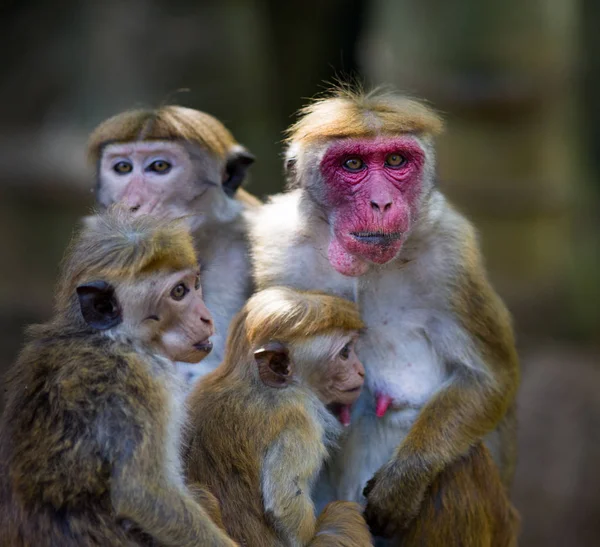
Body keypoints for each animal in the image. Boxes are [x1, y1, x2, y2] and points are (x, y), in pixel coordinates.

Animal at [0, 210, 238, 547]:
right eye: (178, 292)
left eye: (195, 284)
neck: (113, 338)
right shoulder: (141, 384)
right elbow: (146, 495)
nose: (206, 317)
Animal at [184, 288, 370, 544]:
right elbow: (284, 503)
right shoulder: (301, 418)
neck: (256, 383)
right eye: (345, 353)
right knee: (343, 512)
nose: (361, 371)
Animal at [248, 88, 520, 540]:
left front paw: (405, 479)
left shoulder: (452, 255)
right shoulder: (277, 247)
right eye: (353, 165)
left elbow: (489, 378)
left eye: (395, 160)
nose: (381, 202)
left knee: (462, 463)